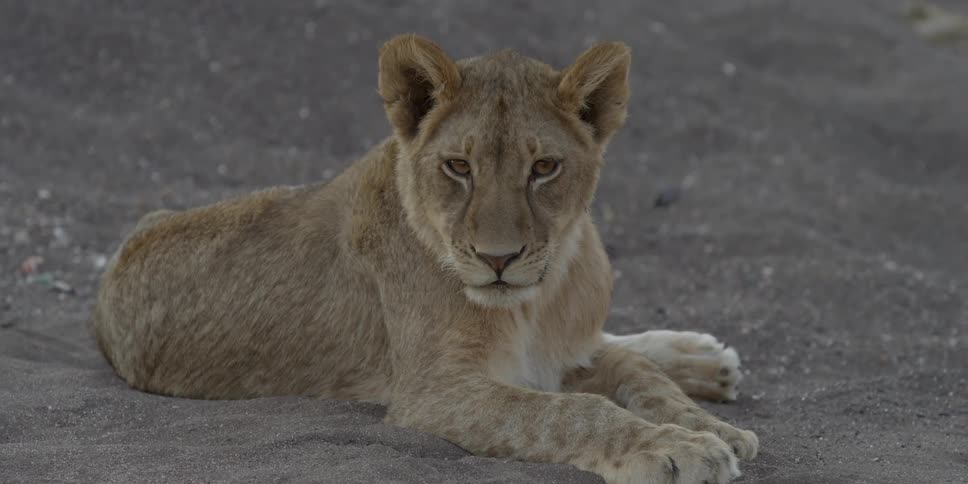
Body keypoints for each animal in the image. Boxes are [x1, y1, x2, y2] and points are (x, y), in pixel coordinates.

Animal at [93, 34, 759, 484]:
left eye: (544, 167)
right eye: (458, 167)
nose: (498, 259)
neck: (538, 304)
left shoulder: (565, 351)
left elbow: (636, 376)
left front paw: (710, 428)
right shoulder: (434, 390)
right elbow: (571, 413)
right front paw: (674, 449)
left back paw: (703, 359)